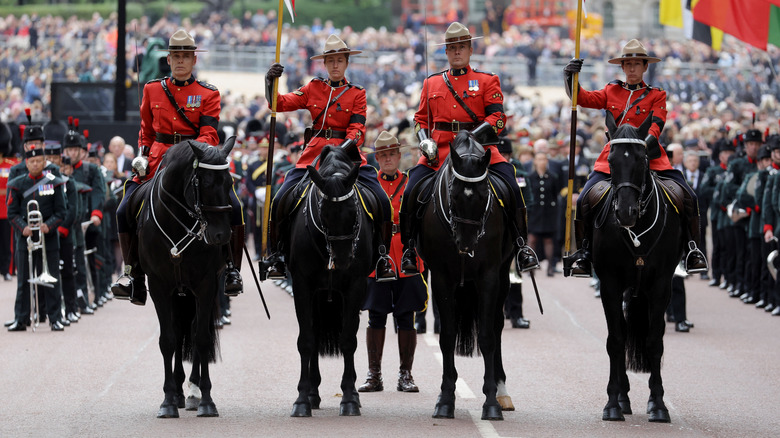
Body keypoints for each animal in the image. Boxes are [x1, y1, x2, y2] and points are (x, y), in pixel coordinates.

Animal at [125, 139, 233, 418]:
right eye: (204, 183)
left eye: (229, 183)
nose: (221, 235)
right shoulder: (159, 286)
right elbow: (168, 340)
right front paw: (168, 400)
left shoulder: (206, 285)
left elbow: (201, 338)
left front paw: (206, 400)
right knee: (178, 329)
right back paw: (179, 392)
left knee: (193, 330)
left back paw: (193, 392)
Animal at [284, 145, 380, 416]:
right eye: (323, 213)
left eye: (354, 212)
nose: (343, 260)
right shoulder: (302, 285)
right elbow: (306, 341)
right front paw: (302, 399)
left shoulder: (356, 285)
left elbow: (348, 340)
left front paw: (349, 398)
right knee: (315, 334)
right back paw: (312, 393)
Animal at [414, 133, 516, 420]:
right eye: (454, 194)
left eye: (484, 195)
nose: (467, 243)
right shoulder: (441, 277)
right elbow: (447, 336)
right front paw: (446, 398)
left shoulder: (489, 276)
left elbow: (487, 337)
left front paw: (491, 401)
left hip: (503, 277)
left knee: (497, 327)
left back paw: (502, 391)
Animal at [596, 112, 684, 420]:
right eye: (610, 160)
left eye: (642, 159)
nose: (625, 213)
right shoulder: (610, 284)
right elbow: (615, 340)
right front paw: (612, 403)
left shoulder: (660, 286)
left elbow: (654, 341)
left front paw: (657, 404)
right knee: (621, 333)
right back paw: (622, 398)